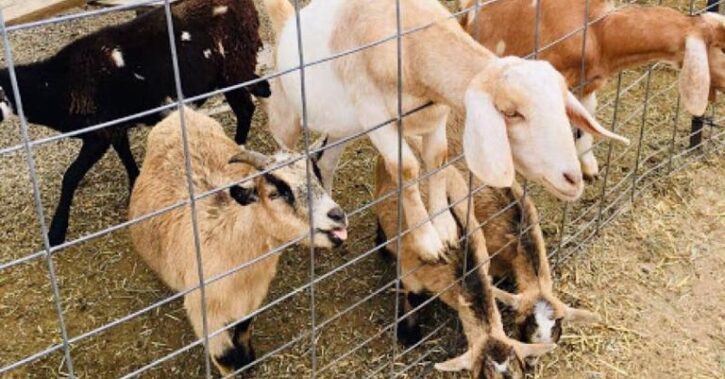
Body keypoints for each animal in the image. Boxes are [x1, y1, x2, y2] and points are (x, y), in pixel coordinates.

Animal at [0, 0, 270, 246]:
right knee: (259, 90)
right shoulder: (116, 127)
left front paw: (56, 233)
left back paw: (236, 150)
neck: (58, 85)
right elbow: (125, 153)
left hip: (233, 67)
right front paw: (134, 184)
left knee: (246, 107)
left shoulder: (99, 133)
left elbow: (70, 176)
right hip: (232, 71)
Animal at [129, 107, 350, 378]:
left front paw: (249, 359)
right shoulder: (204, 314)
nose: (337, 216)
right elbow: (225, 357)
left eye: (318, 177)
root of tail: (182, 111)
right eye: (277, 192)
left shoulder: (252, 297)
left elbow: (244, 328)